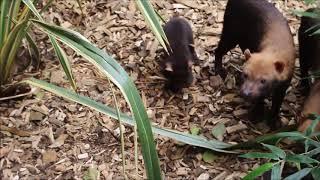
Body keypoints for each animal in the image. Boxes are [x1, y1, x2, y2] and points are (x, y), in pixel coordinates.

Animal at [215, 0, 296, 128]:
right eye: (245, 75)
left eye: (263, 80)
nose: (245, 93)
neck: (275, 48)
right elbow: (260, 99)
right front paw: (256, 114)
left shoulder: (284, 84)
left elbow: (277, 103)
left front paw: (273, 120)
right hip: (231, 32)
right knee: (218, 50)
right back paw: (219, 70)